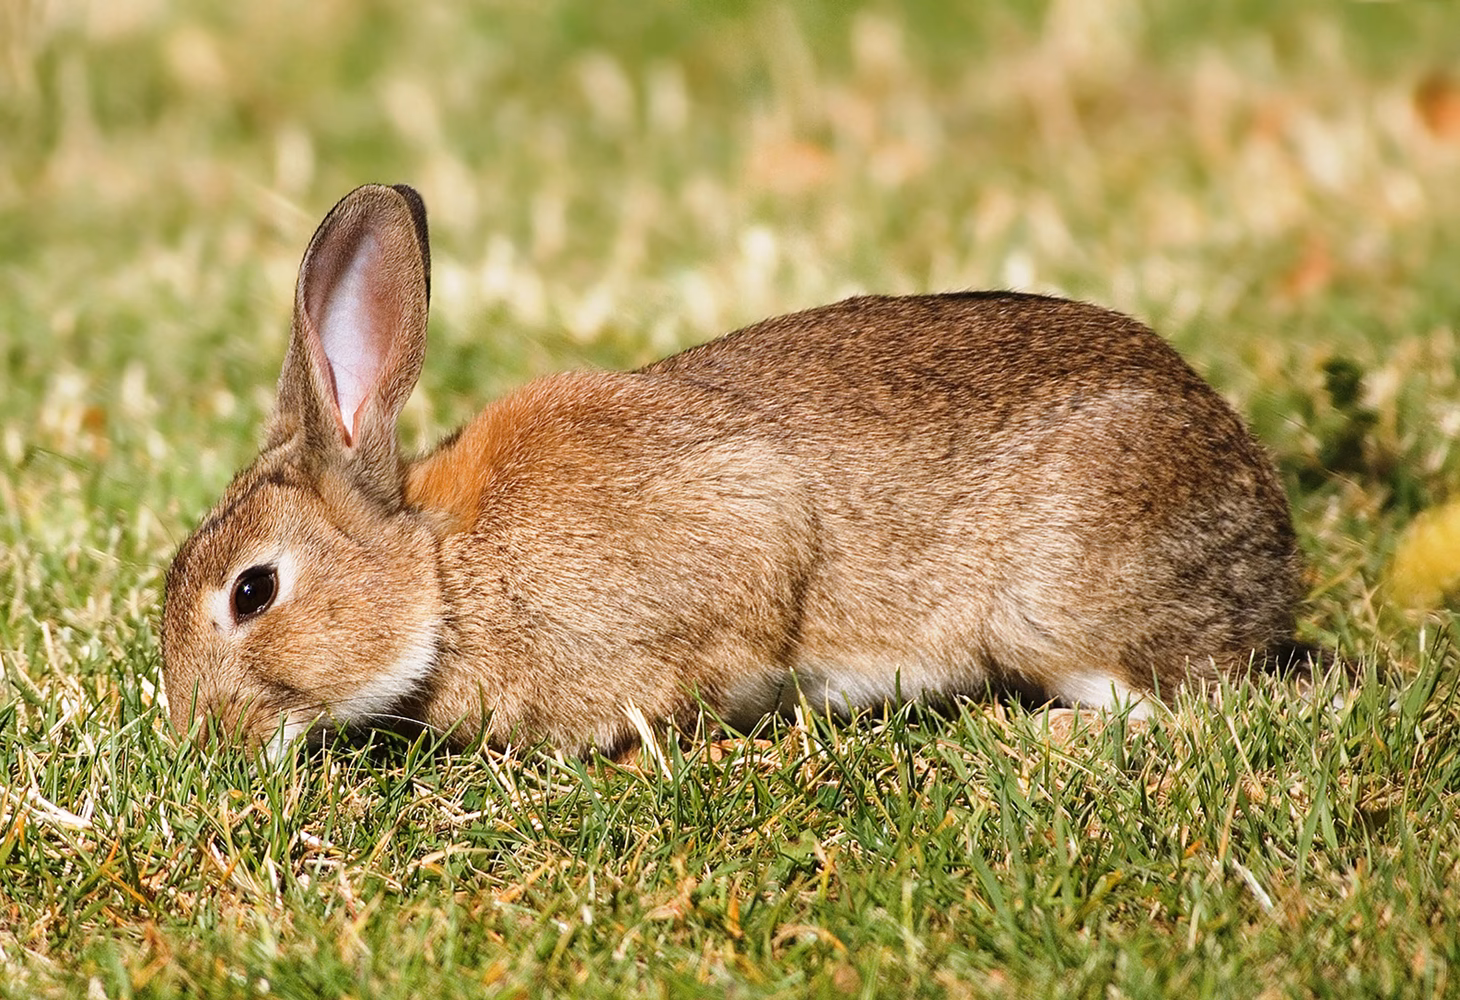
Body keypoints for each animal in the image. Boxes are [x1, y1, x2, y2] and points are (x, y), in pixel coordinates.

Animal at [161, 183, 1308, 757]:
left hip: (1054, 602)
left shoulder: (739, 533)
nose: (201, 740)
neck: (443, 576)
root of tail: (1269, 539)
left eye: (253, 592)